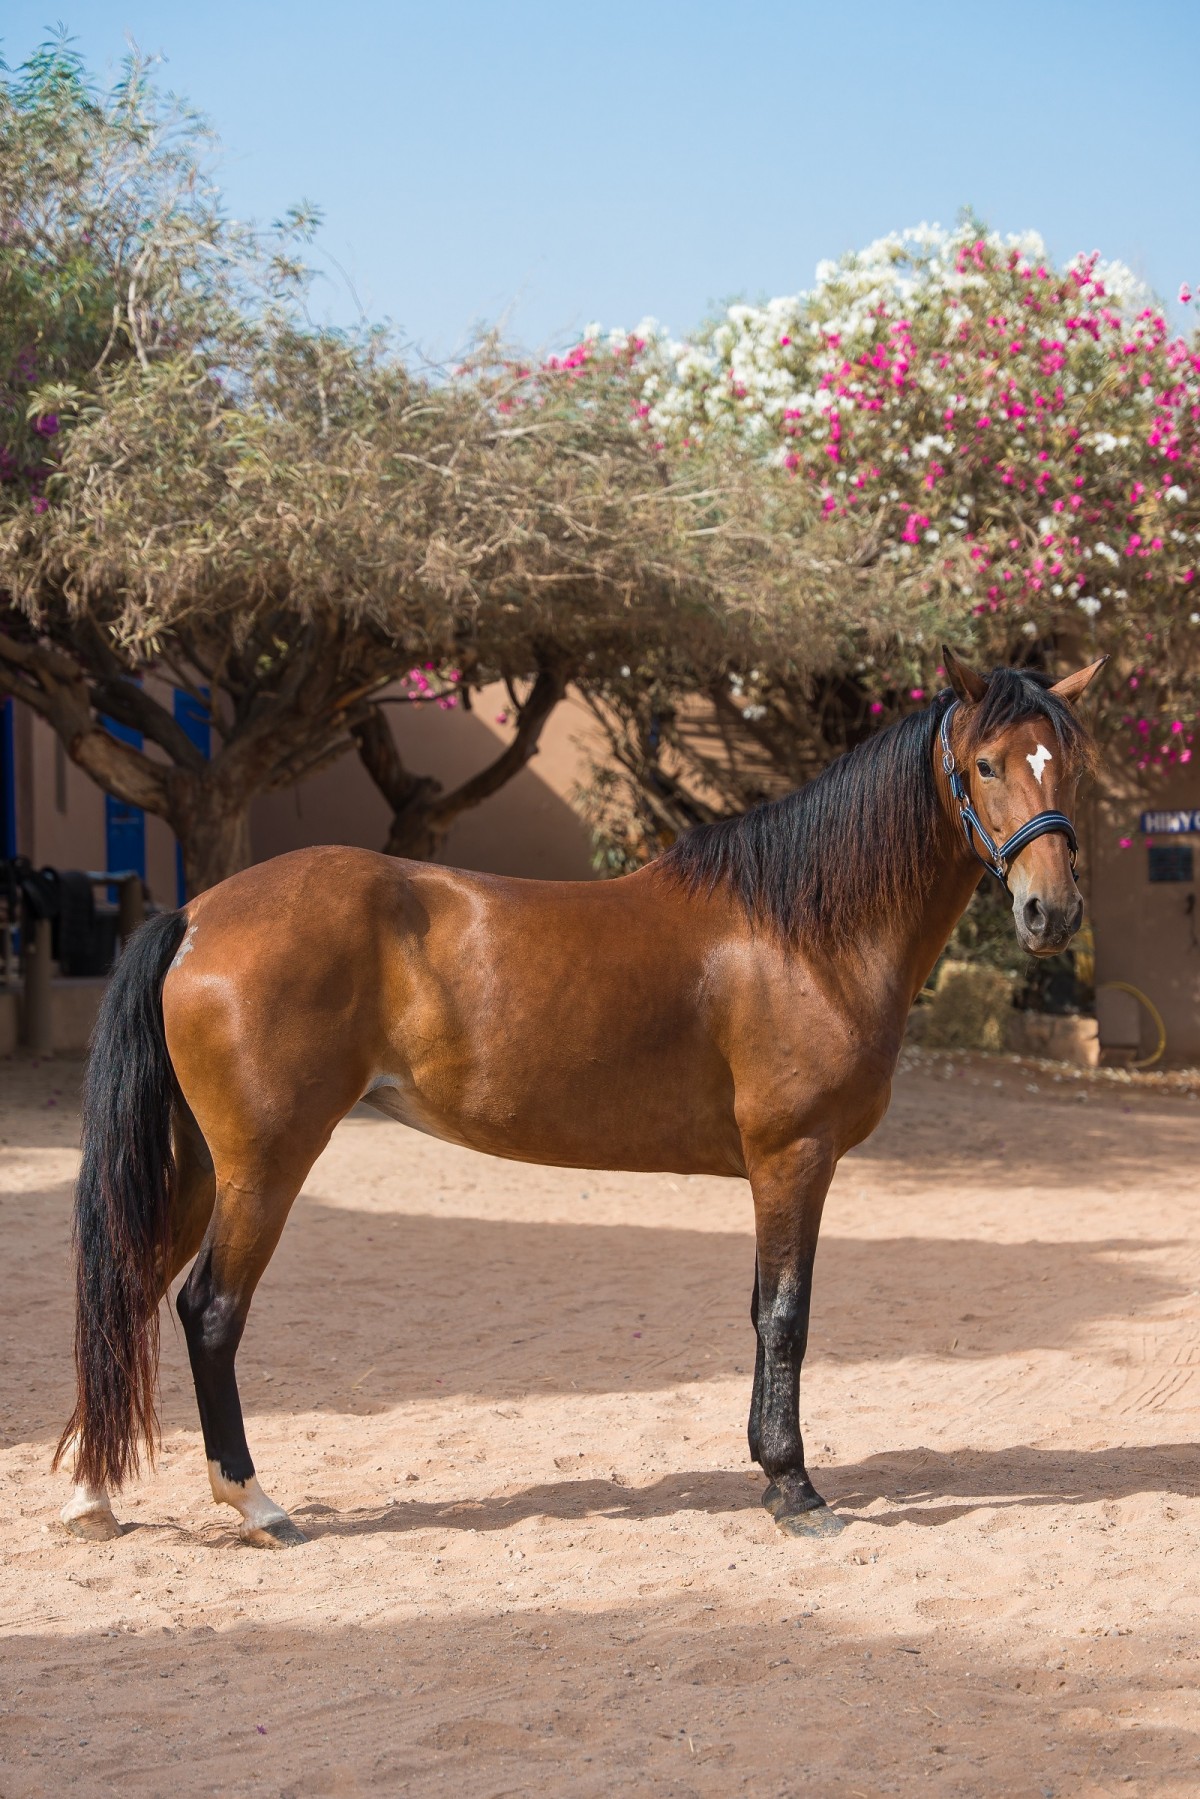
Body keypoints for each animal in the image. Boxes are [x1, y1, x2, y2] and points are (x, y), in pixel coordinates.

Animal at [55, 650, 1103, 1546]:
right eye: (985, 764)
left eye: (1069, 766)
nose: (1051, 912)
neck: (802, 932)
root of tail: (196, 915)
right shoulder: (793, 1158)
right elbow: (785, 1317)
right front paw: (794, 1487)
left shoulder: (776, 1168)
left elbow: (761, 1308)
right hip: (264, 1165)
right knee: (208, 1311)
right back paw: (255, 1501)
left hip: (198, 1166)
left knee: (129, 1294)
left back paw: (92, 1497)